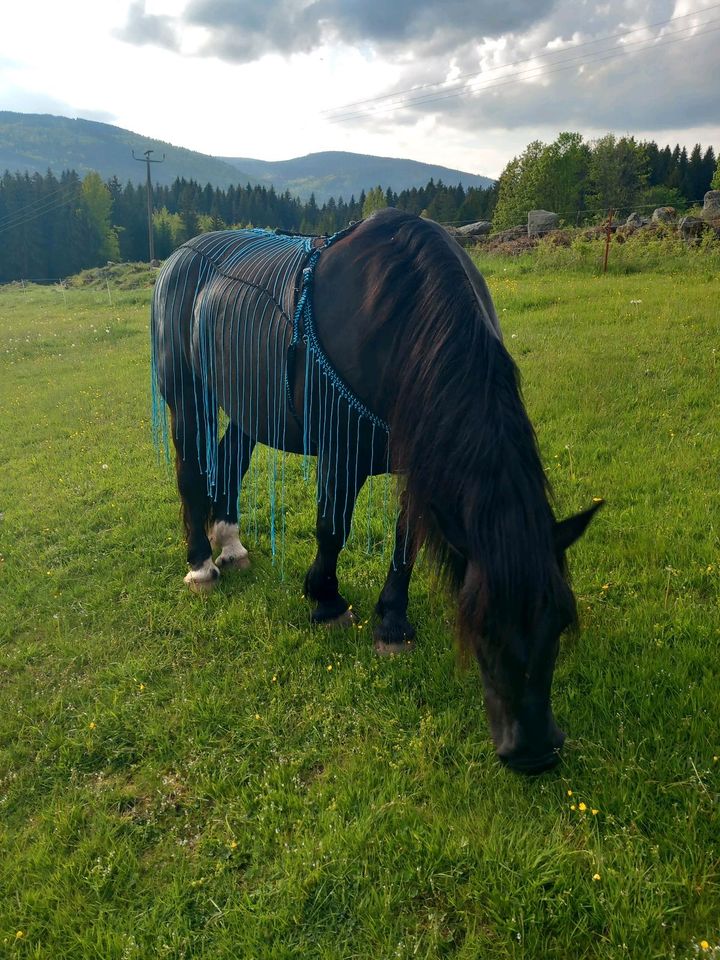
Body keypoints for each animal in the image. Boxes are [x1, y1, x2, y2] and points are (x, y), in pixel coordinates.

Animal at [152, 208, 600, 772]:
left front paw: (392, 622)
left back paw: (230, 545)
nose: (535, 750)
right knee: (191, 474)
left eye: (561, 619)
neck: (399, 317)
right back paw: (202, 565)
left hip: (251, 405)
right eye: (480, 623)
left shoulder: (416, 456)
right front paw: (326, 601)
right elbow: (331, 527)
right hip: (188, 394)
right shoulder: (340, 453)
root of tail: (180, 256)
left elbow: (407, 542)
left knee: (231, 463)